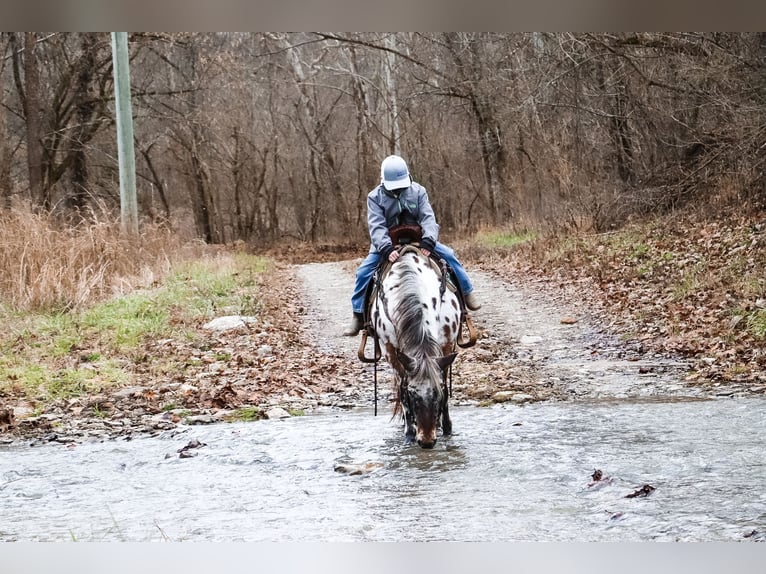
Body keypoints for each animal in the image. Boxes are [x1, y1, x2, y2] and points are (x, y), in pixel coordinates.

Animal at [372, 245, 462, 448]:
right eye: (412, 396)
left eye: (437, 394)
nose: (427, 441)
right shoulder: (393, 353)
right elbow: (401, 389)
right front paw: (410, 433)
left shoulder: (446, 345)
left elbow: (445, 384)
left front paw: (447, 427)